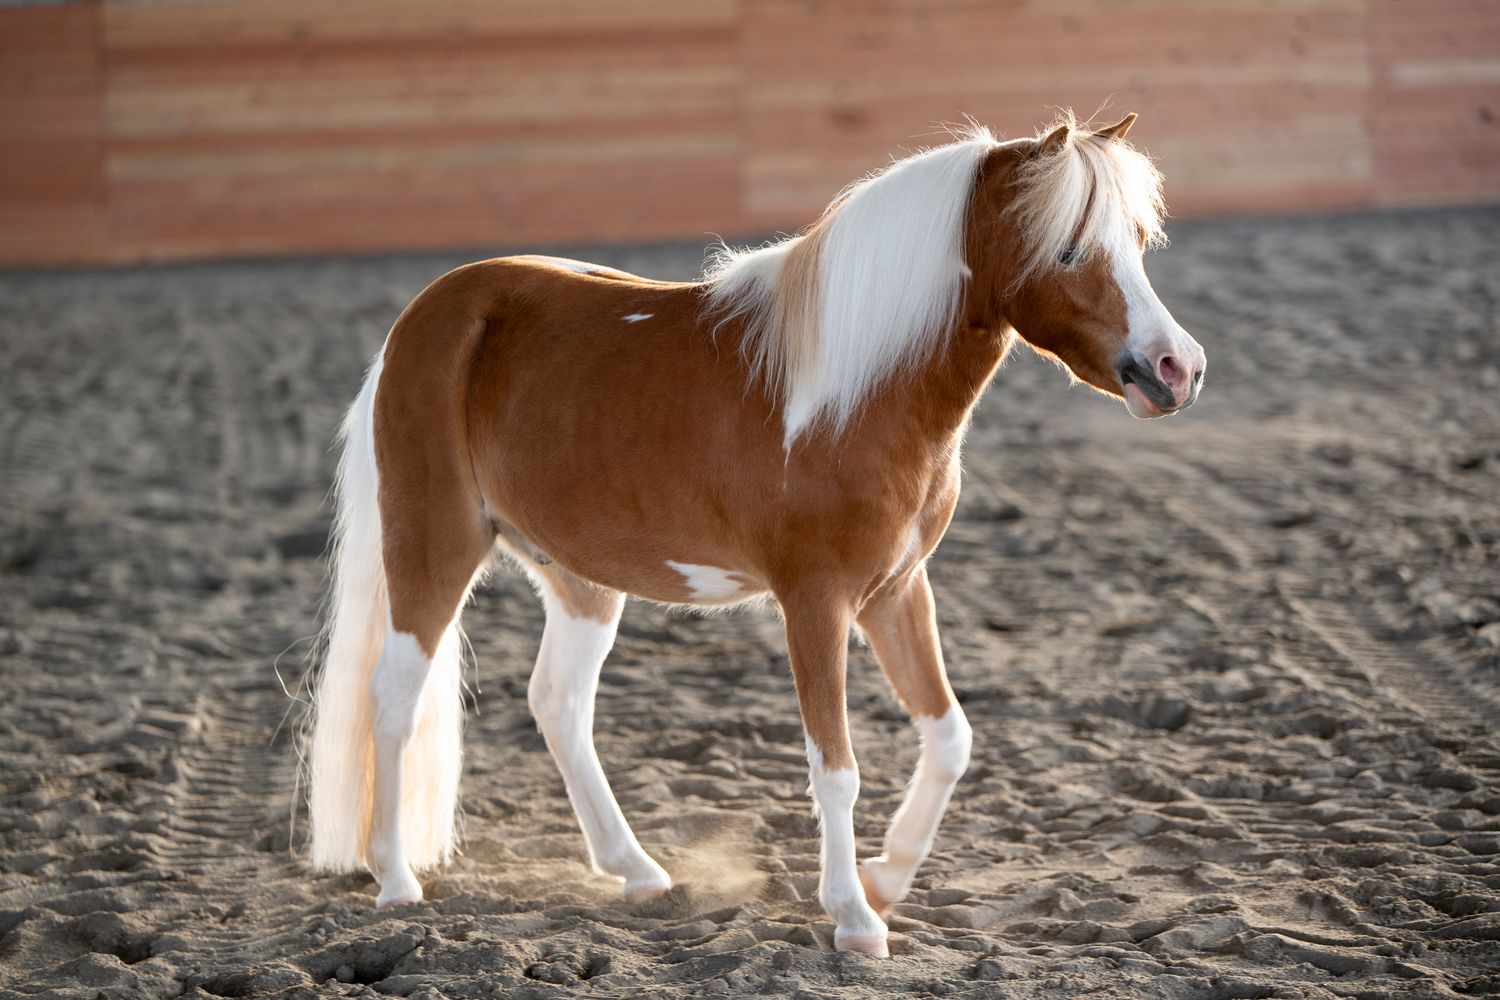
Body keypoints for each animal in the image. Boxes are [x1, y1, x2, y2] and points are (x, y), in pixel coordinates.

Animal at [305, 111, 1206, 957]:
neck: (855, 393)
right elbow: (835, 768)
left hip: (577, 576)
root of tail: (423, 321)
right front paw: (853, 919)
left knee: (558, 704)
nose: (1177, 368)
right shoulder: (816, 602)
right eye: (1067, 248)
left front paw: (884, 877)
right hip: (434, 546)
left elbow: (950, 736)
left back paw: (636, 871)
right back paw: (395, 880)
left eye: (1137, 240)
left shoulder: (896, 589)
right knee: (395, 696)